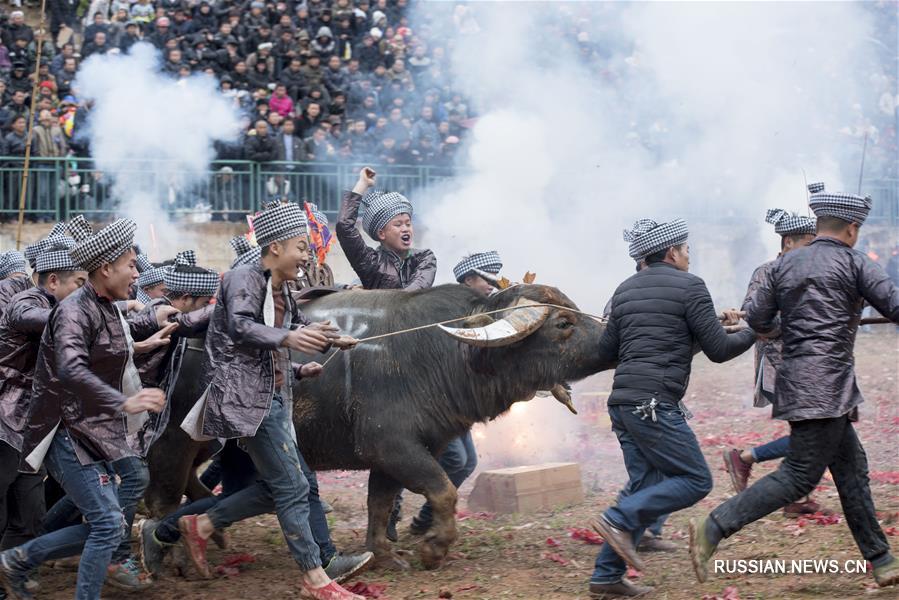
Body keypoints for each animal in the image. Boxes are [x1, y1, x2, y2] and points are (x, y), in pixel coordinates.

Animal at [148, 284, 612, 568]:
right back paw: (174, 556)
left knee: (198, 486)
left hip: (215, 445)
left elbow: (380, 503)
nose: (611, 337)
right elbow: (444, 490)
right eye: (563, 324)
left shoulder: (395, 454)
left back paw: (206, 536)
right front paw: (434, 549)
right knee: (163, 495)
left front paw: (384, 553)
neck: (447, 352)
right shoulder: (393, 446)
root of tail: (177, 333)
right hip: (172, 440)